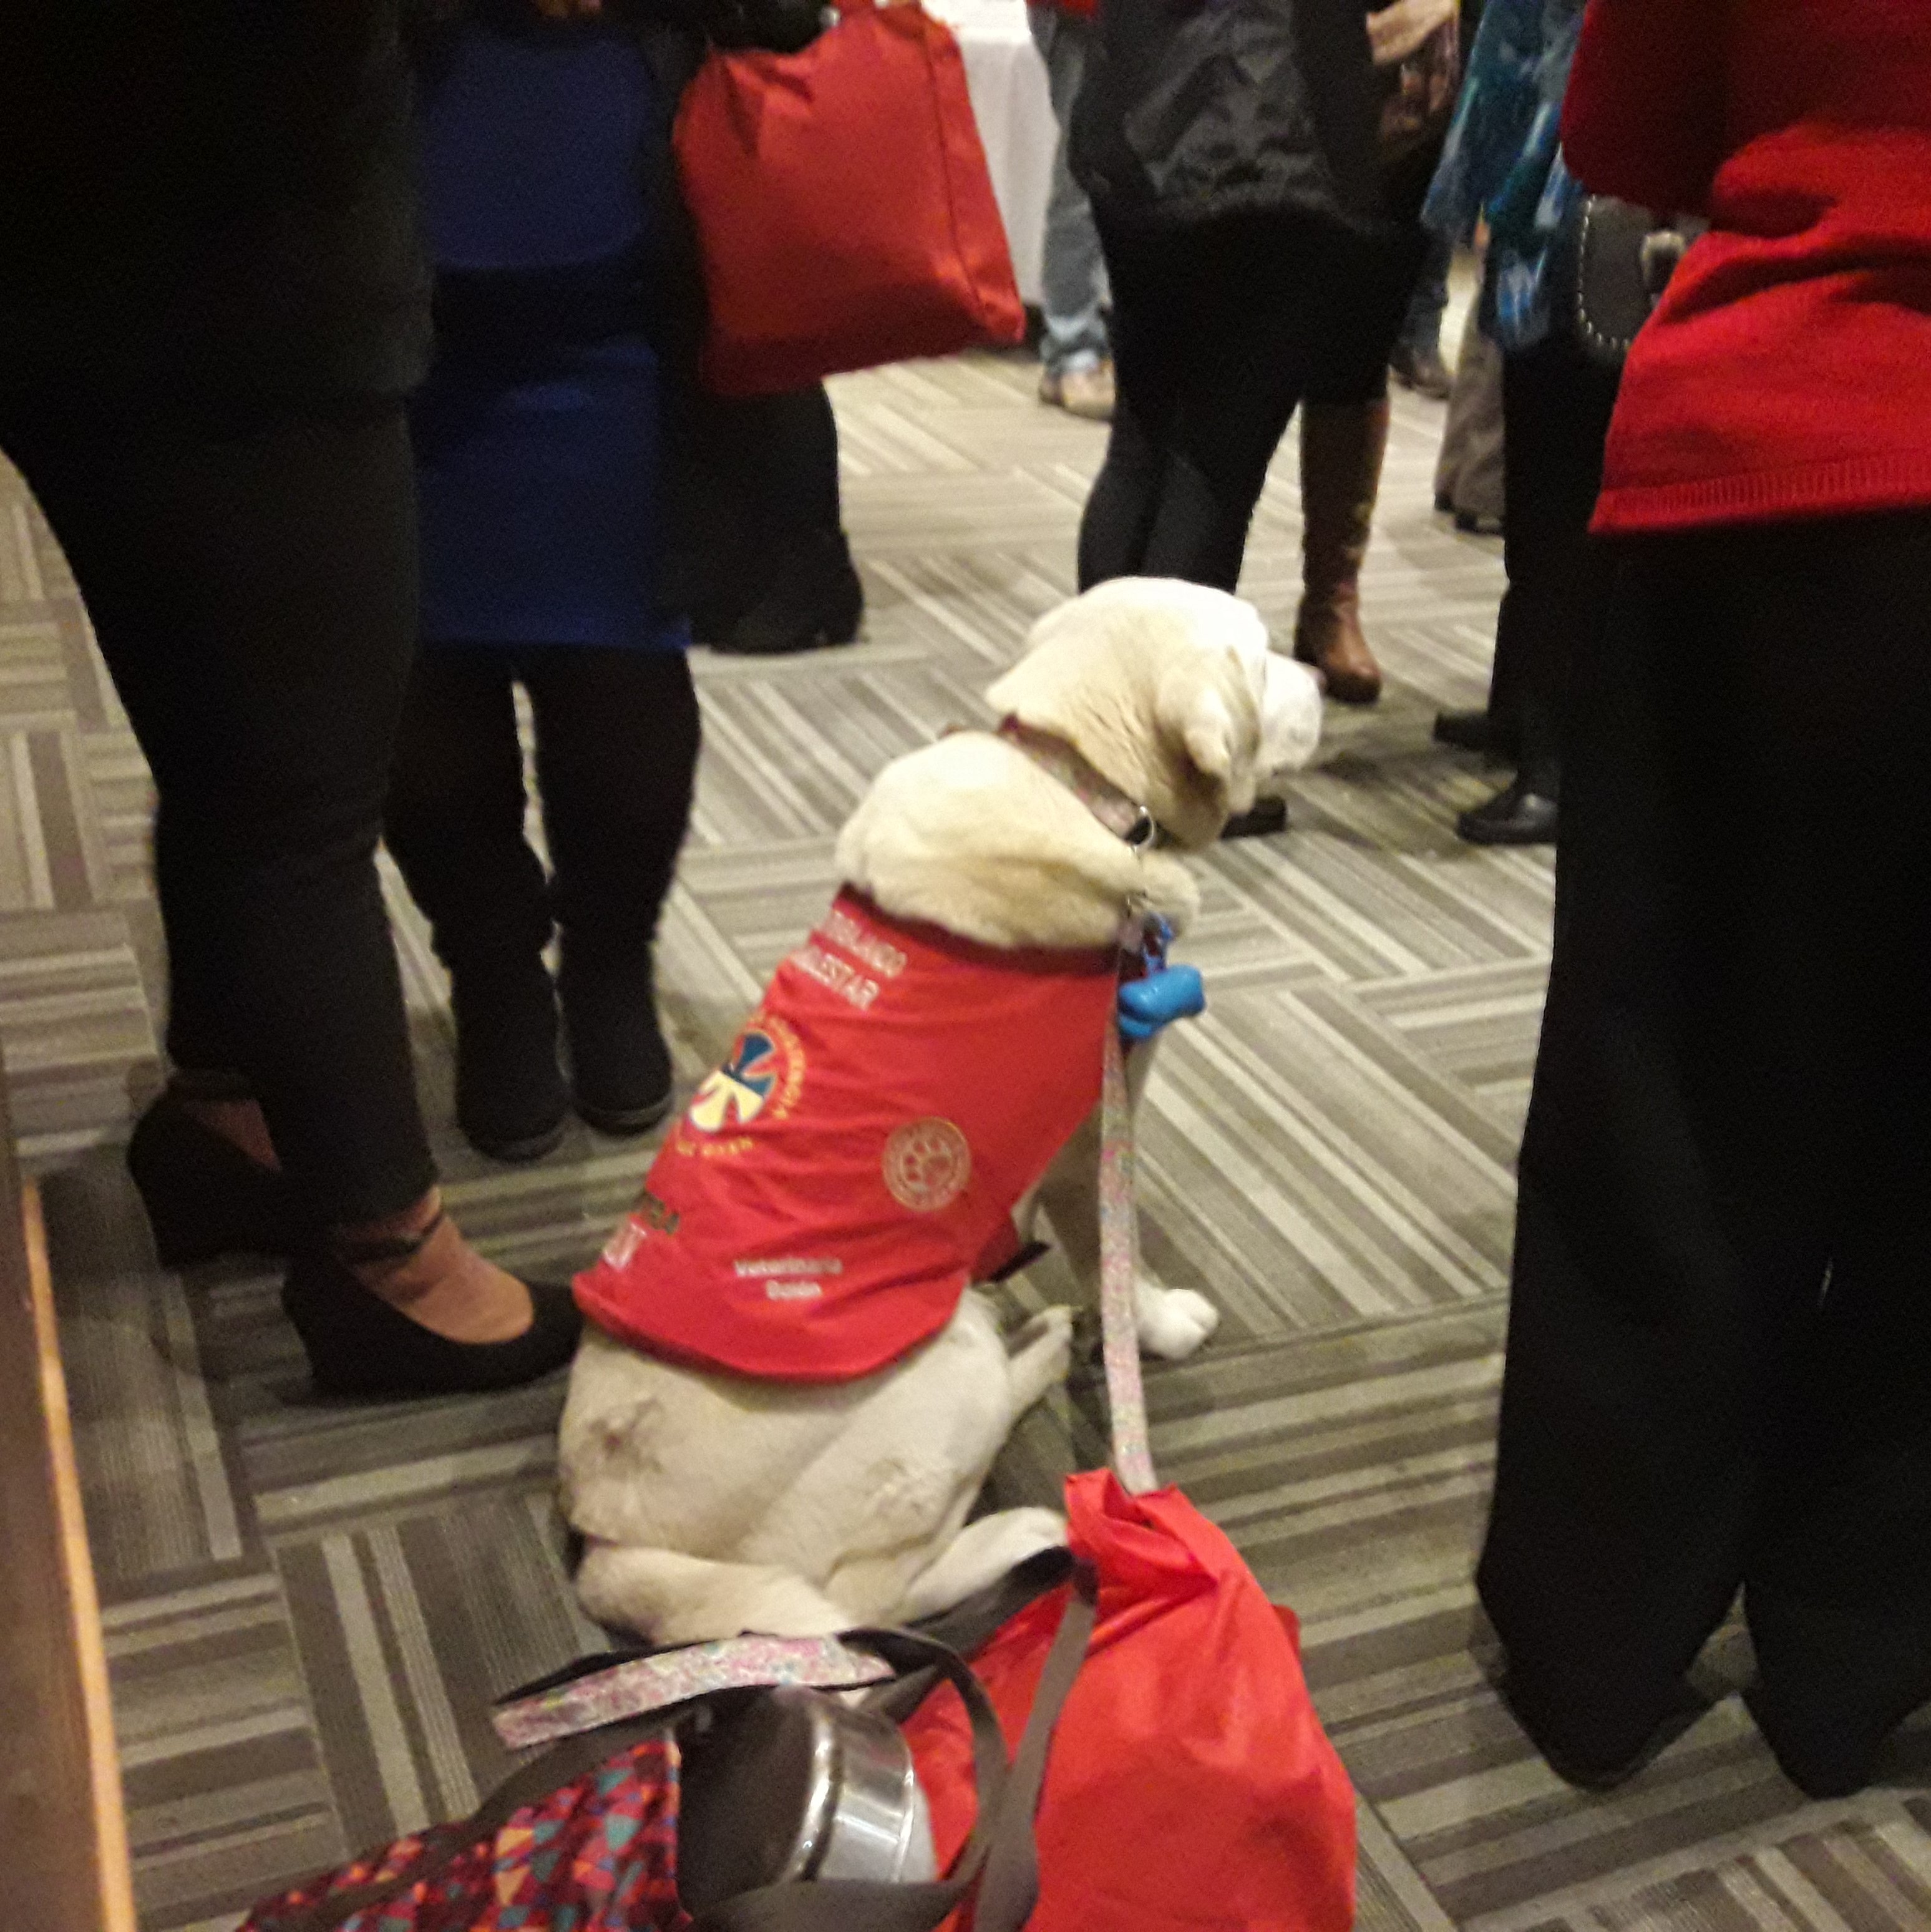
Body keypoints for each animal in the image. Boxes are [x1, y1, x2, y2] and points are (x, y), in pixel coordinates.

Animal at [552, 575, 1320, 1646]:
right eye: (1256, 653)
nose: (1325, 676)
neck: (1075, 778)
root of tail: (610, 1546)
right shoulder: (1096, 1132)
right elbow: (1113, 1257)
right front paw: (1159, 1323)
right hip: (935, 1363)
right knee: (879, 1592)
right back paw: (1031, 1471)